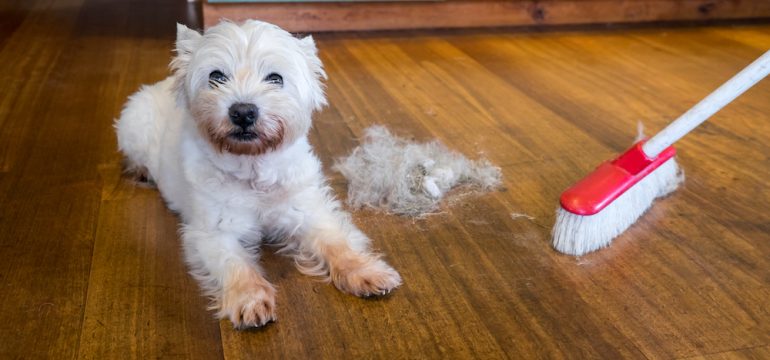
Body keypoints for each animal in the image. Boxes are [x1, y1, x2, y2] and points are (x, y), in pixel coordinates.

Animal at [116, 19, 402, 330]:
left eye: (275, 78)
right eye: (216, 76)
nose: (243, 112)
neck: (254, 170)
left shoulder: (308, 211)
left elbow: (336, 243)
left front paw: (366, 271)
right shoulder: (212, 233)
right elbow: (236, 265)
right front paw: (249, 300)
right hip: (132, 127)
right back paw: (142, 171)